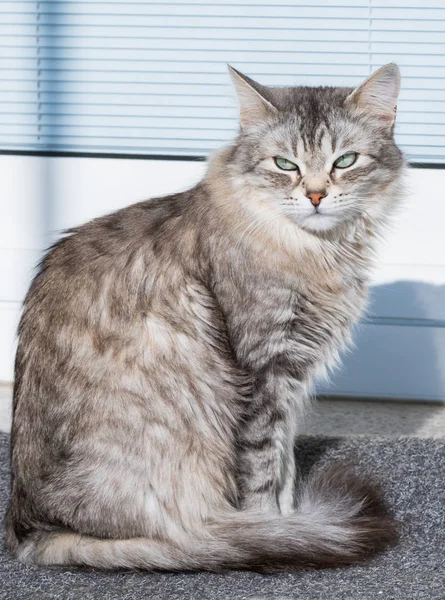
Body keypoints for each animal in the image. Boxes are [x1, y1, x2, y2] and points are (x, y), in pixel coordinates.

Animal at [4, 63, 406, 568]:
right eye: (285, 165)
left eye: (345, 161)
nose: (315, 196)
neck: (315, 251)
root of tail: (31, 528)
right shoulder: (263, 370)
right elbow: (262, 474)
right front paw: (276, 531)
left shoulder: (292, 376)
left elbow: (286, 468)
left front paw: (291, 522)